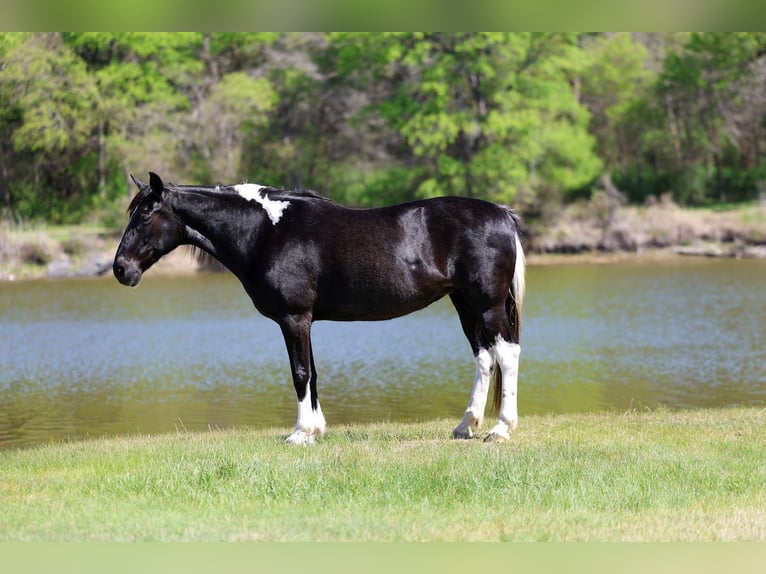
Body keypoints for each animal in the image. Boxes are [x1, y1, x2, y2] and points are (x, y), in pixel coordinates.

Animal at [113, 172, 526, 445]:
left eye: (146, 215)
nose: (121, 269)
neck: (266, 232)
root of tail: (502, 214)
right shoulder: (304, 320)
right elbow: (312, 371)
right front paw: (316, 429)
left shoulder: (294, 318)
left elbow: (300, 373)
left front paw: (300, 433)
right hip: (465, 303)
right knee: (483, 357)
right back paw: (465, 425)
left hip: (487, 305)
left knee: (506, 354)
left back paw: (500, 430)